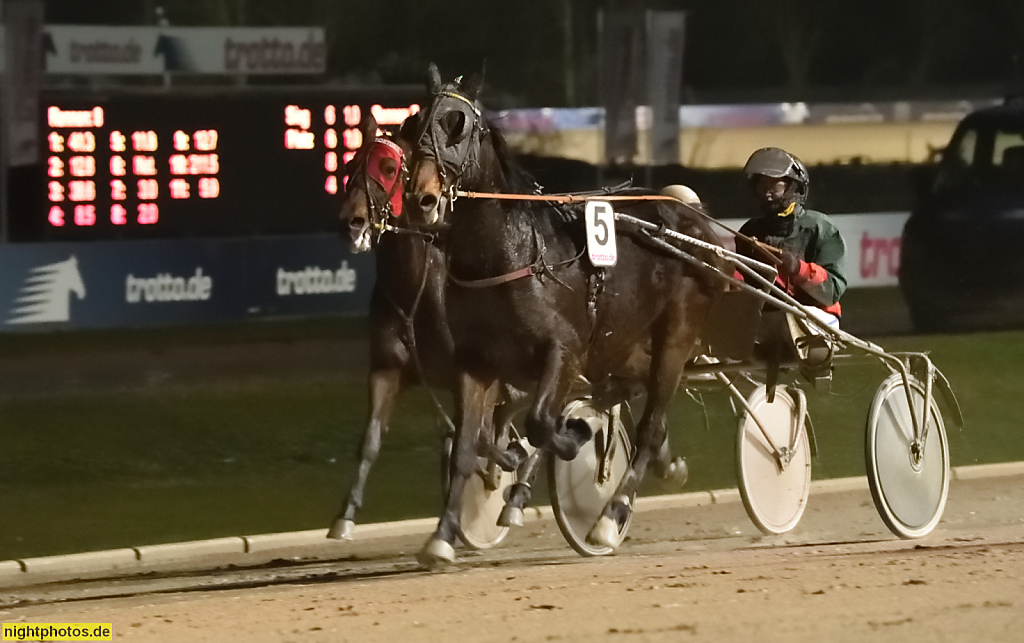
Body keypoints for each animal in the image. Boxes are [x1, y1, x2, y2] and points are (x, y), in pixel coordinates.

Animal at [405, 66, 729, 569]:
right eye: (416, 122)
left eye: (458, 125)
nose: (422, 199)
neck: (510, 255)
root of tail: (692, 222)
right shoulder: (474, 362)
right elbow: (468, 446)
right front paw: (442, 536)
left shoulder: (566, 351)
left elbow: (541, 422)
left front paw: (573, 434)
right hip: (624, 345)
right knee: (637, 401)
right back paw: (665, 464)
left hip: (675, 334)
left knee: (650, 425)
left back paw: (609, 518)